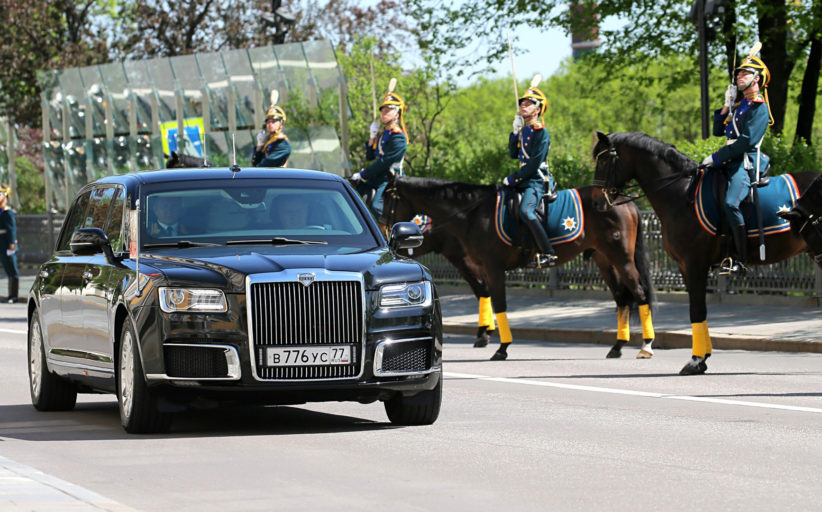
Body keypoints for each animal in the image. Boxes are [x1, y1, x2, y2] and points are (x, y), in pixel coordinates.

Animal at [384, 174, 660, 362]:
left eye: (387, 197)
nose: (386, 228)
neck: (474, 212)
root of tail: (624, 201)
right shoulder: (483, 266)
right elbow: (493, 301)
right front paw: (495, 341)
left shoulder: (492, 268)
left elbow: (499, 304)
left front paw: (501, 347)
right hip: (604, 260)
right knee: (622, 299)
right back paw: (618, 346)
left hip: (622, 259)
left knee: (639, 293)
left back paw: (646, 345)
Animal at [592, 130, 822, 374]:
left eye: (604, 160)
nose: (596, 202)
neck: (681, 194)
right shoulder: (685, 267)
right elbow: (698, 311)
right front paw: (702, 358)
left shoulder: (695, 264)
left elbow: (697, 310)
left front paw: (695, 360)